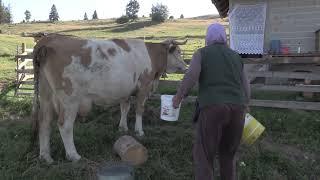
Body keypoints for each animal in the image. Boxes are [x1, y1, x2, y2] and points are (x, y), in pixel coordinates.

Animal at [31, 33, 188, 163]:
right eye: (179, 52)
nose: (186, 67)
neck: (150, 55)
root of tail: (49, 38)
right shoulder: (144, 86)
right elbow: (139, 110)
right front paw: (139, 131)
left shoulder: (126, 90)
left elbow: (125, 108)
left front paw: (123, 128)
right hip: (70, 99)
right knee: (65, 125)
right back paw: (73, 155)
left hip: (46, 95)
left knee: (44, 122)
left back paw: (45, 156)